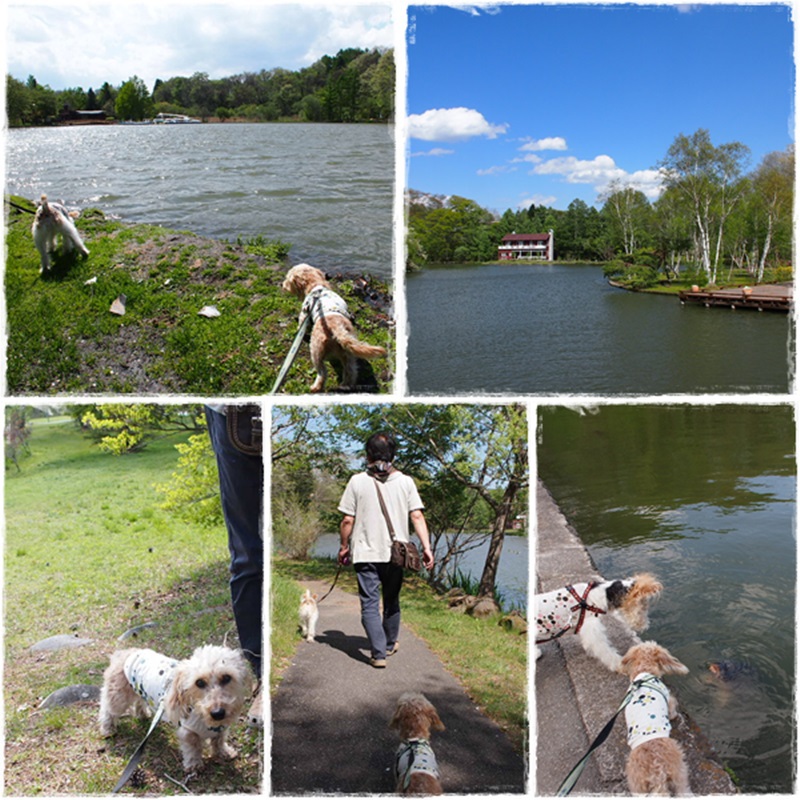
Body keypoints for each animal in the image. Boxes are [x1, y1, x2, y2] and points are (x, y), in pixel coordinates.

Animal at [100, 644, 250, 776]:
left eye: (227, 677)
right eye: (199, 682)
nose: (218, 713)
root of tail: (126, 652)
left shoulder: (221, 728)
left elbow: (219, 740)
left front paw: (224, 752)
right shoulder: (188, 731)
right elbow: (193, 748)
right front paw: (194, 764)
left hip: (138, 690)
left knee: (139, 701)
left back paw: (143, 715)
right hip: (118, 696)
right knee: (107, 709)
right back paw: (108, 729)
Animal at [282, 264, 388, 392]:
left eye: (287, 278)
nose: (282, 284)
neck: (316, 285)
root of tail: (337, 329)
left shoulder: (304, 313)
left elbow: (301, 323)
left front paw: (298, 330)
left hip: (316, 352)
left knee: (322, 372)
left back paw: (316, 387)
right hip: (348, 354)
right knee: (350, 371)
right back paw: (345, 385)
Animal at [620, 640, 692, 796]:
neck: (644, 672)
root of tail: (657, 772)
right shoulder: (669, 699)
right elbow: (672, 709)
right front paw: (674, 716)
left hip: (638, 786)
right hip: (679, 772)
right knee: (683, 789)